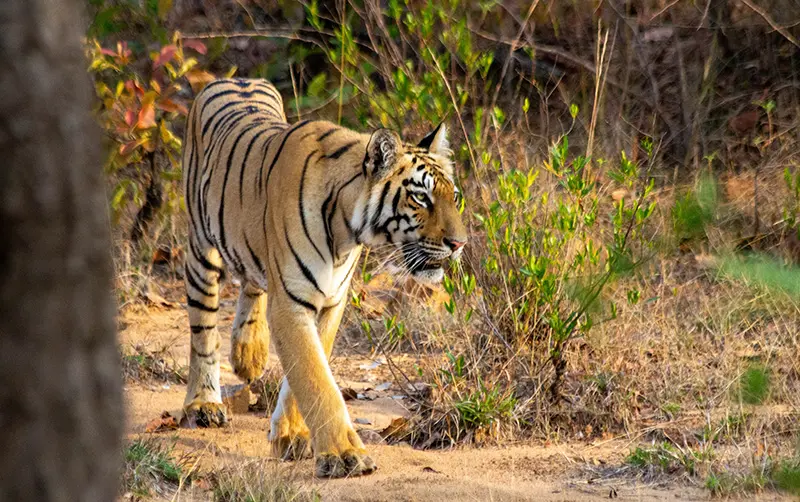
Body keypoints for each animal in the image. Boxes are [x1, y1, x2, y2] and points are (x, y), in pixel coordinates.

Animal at [180, 76, 468, 476]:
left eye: (452, 196)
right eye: (421, 198)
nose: (459, 243)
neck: (346, 230)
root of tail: (234, 77)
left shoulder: (331, 300)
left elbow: (307, 370)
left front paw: (290, 435)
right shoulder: (291, 302)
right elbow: (316, 379)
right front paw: (345, 455)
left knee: (252, 284)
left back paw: (249, 353)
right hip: (201, 248)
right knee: (204, 330)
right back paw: (203, 404)